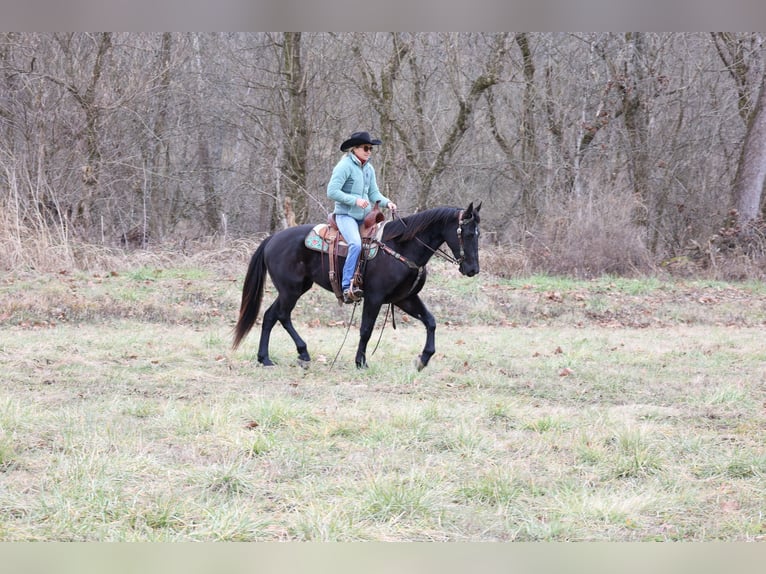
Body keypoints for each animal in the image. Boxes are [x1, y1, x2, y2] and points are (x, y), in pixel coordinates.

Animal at [231, 205, 484, 372]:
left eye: (478, 234)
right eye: (467, 233)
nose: (473, 269)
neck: (401, 247)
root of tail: (272, 239)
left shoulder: (405, 298)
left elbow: (430, 321)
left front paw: (423, 359)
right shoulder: (374, 298)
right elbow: (366, 330)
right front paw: (360, 362)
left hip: (295, 288)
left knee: (271, 315)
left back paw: (267, 358)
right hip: (290, 290)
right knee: (281, 315)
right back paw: (296, 353)